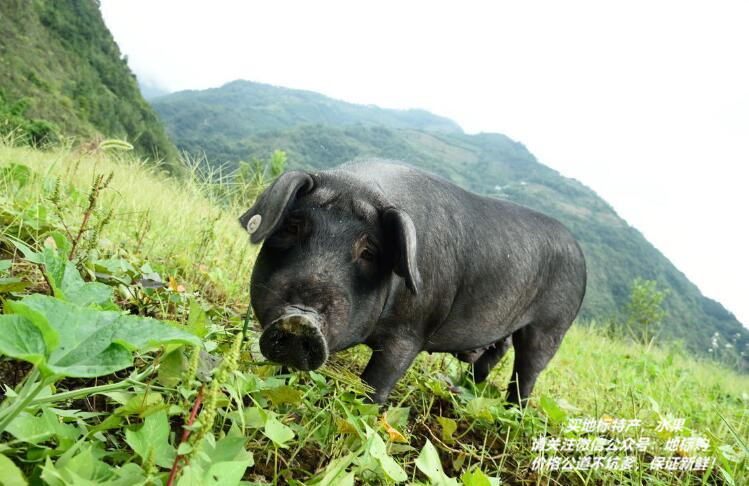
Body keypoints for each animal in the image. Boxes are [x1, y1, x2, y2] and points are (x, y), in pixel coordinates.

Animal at [240, 161, 584, 404]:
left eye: (369, 252)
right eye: (293, 226)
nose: (301, 319)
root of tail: (579, 251)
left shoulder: (411, 332)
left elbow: (376, 384)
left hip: (551, 328)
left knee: (527, 372)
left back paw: (511, 408)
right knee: (496, 354)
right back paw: (464, 388)